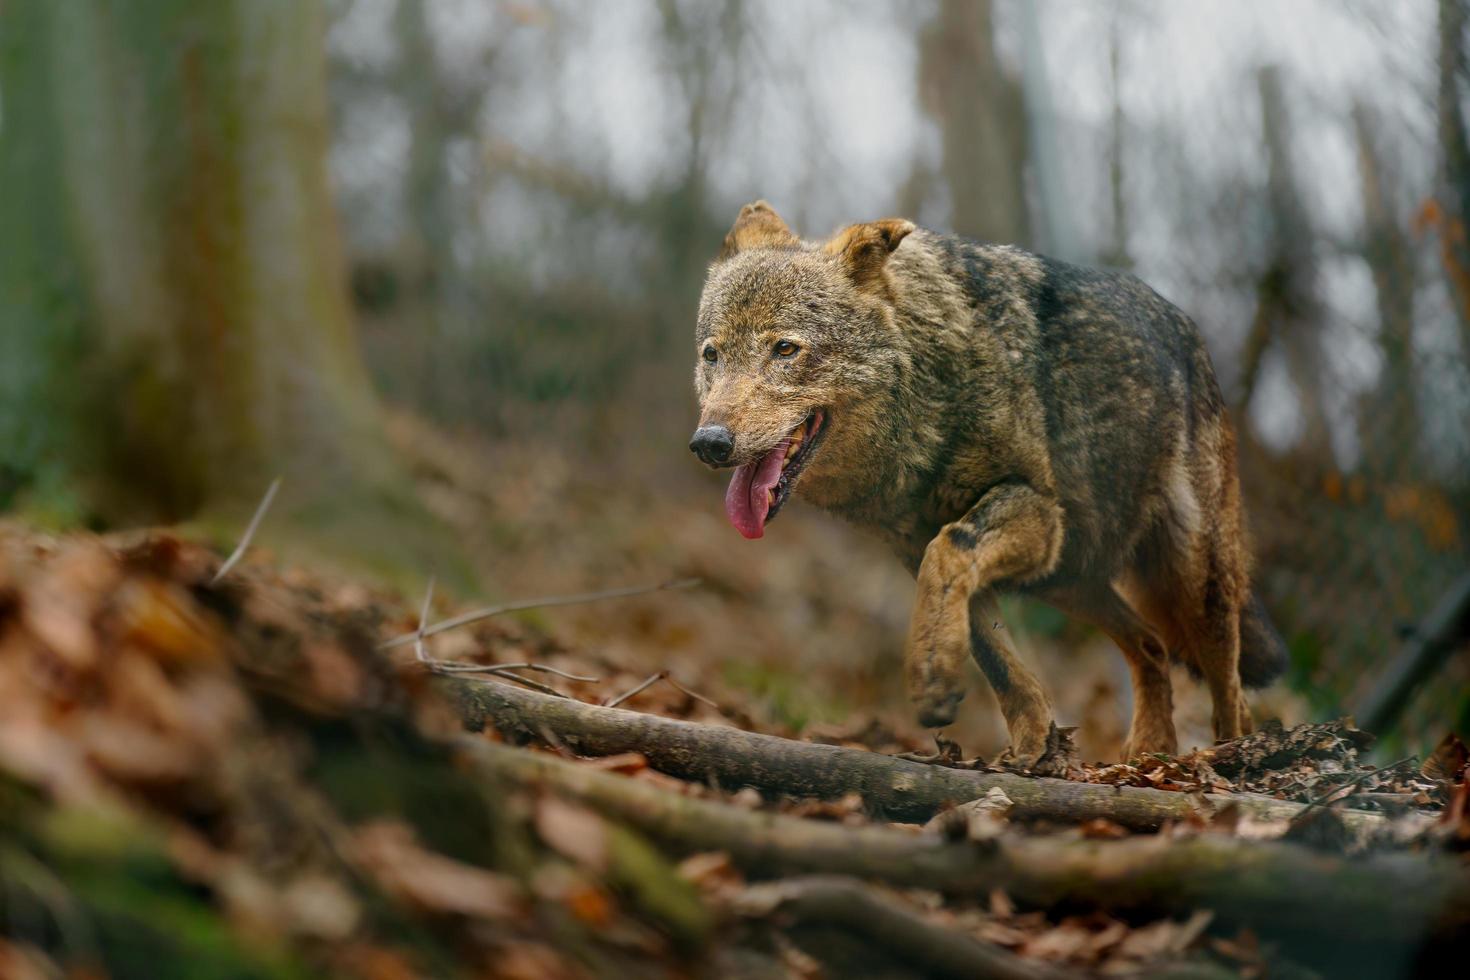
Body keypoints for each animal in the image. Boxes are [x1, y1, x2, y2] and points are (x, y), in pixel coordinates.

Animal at [687, 201, 1287, 764]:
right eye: (712, 355)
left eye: (785, 349)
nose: (709, 443)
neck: (925, 400)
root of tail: (1188, 329)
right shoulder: (920, 548)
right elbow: (991, 651)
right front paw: (1030, 750)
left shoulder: (1030, 510)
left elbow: (951, 552)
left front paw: (931, 677)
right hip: (1067, 577)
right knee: (1152, 645)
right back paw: (1150, 754)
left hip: (1191, 577)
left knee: (1229, 684)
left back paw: (1230, 756)